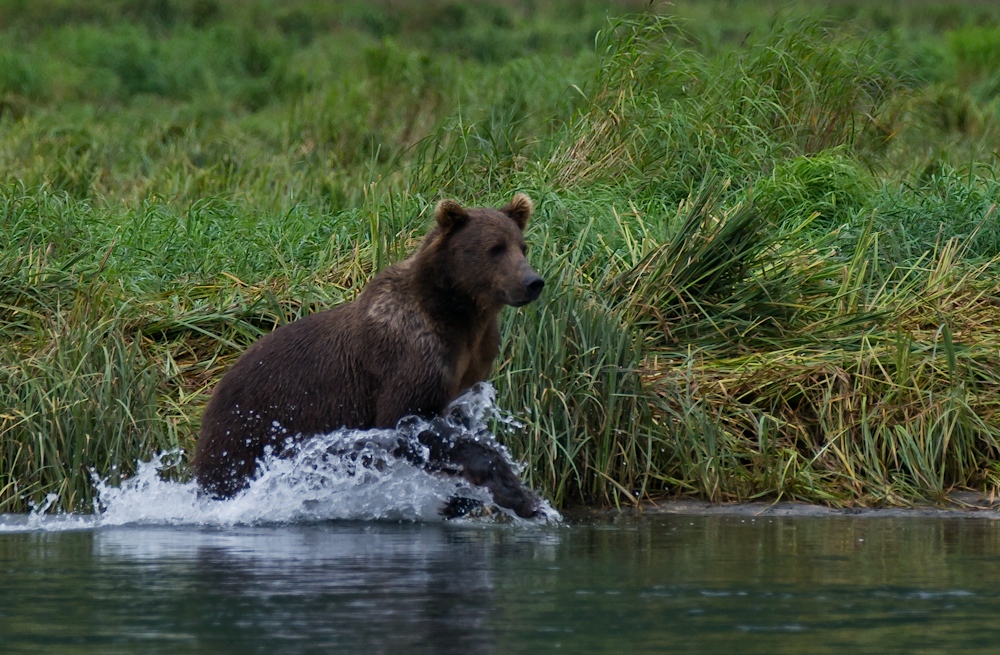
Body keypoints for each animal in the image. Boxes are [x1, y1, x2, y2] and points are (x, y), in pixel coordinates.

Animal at [195, 192, 548, 520]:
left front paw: (468, 498)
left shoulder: (472, 363)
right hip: (249, 428)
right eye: (495, 248)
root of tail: (214, 391)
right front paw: (519, 494)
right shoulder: (411, 356)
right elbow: (408, 422)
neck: (458, 318)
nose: (533, 281)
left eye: (523, 246)